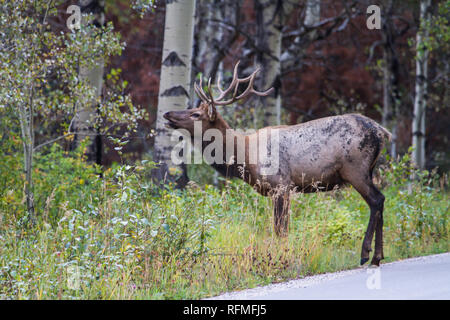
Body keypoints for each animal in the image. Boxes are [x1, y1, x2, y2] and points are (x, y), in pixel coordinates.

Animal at [164, 62, 390, 264]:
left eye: (195, 114)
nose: (167, 113)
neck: (245, 156)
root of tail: (382, 132)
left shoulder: (281, 184)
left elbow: (280, 228)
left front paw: (281, 257)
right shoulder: (281, 189)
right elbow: (281, 228)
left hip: (355, 169)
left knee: (377, 200)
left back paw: (366, 254)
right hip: (368, 170)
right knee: (380, 201)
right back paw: (378, 256)